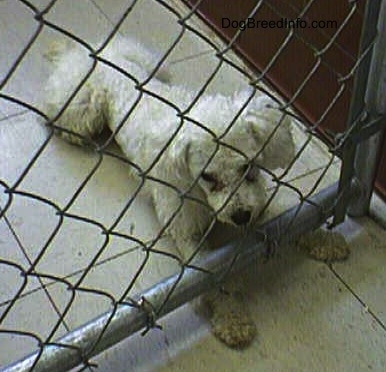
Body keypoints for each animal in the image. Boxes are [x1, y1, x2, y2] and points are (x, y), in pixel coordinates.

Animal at [42, 36, 296, 348]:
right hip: (83, 108)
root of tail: (101, 55)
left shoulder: (255, 203)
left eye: (247, 165)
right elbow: (211, 278)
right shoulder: (185, 229)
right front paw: (232, 319)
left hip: (152, 65)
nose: (241, 216)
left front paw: (323, 240)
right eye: (207, 176)